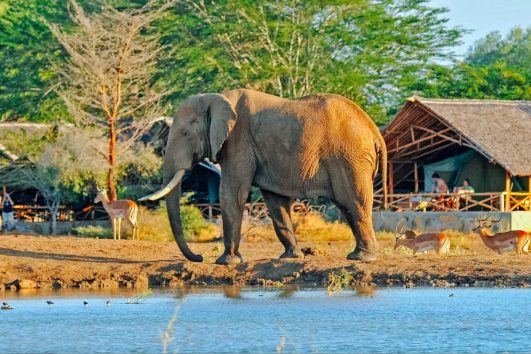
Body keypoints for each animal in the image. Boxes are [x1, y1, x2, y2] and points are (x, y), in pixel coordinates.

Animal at [140, 89, 390, 262]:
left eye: (184, 133)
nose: (199, 257)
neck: (217, 98)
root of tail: (373, 129)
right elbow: (274, 200)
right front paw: (291, 257)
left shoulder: (238, 142)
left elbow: (233, 193)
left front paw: (226, 262)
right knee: (347, 206)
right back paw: (357, 255)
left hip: (350, 158)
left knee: (353, 202)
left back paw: (363, 258)